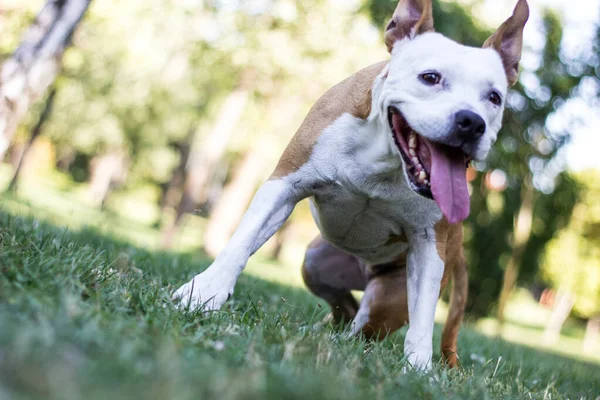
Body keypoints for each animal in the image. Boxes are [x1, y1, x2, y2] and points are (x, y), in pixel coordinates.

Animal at [171, 0, 528, 370]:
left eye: (494, 97)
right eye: (430, 78)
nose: (472, 122)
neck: (385, 158)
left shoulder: (429, 246)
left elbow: (423, 317)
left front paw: (418, 369)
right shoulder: (285, 184)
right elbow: (240, 244)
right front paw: (206, 292)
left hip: (390, 294)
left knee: (363, 329)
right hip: (314, 262)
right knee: (347, 309)